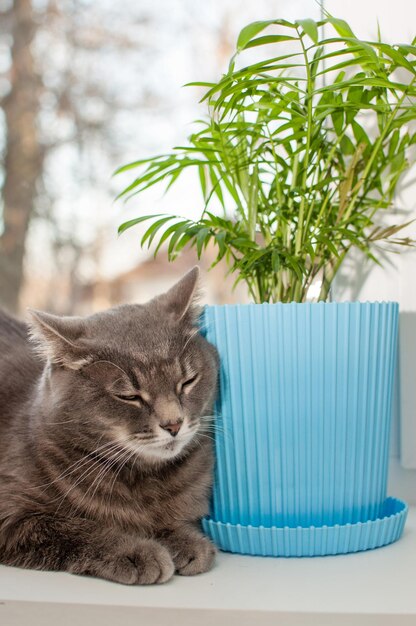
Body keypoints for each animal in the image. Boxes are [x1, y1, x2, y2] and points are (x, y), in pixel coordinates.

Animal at [0, 266, 221, 584]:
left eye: (187, 381)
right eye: (129, 396)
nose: (174, 423)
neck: (144, 479)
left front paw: (187, 540)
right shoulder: (11, 511)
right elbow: (72, 528)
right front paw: (136, 551)